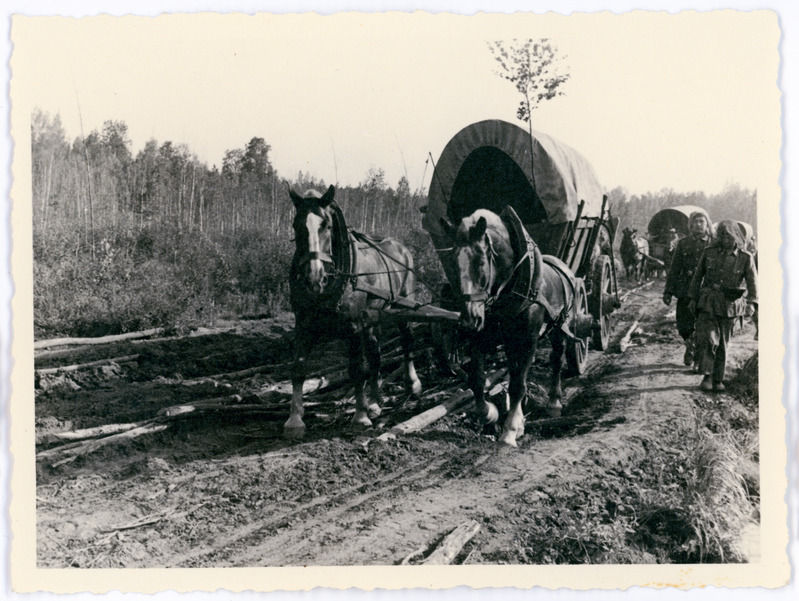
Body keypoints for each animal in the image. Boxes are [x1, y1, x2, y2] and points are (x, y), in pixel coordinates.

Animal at [290, 185, 424, 438]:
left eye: (326, 226)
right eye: (296, 225)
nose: (314, 278)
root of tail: (402, 247)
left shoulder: (352, 326)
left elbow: (355, 370)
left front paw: (360, 417)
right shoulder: (302, 325)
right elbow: (299, 368)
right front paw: (294, 420)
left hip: (404, 307)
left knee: (407, 340)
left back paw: (413, 384)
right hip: (372, 319)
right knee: (375, 355)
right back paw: (374, 402)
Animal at [440, 207, 584, 446]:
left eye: (481, 262)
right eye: (452, 263)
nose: (469, 321)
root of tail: (563, 266)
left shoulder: (528, 340)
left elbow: (518, 385)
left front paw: (509, 432)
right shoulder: (481, 337)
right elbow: (477, 381)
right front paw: (490, 413)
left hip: (560, 328)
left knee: (556, 359)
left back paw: (554, 402)